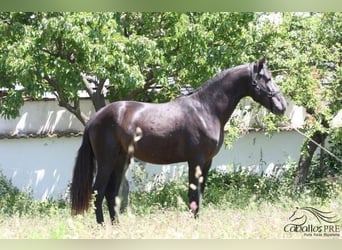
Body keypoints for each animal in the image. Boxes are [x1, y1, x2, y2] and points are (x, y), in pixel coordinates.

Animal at [71, 57, 288, 224]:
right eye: (266, 78)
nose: (282, 106)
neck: (206, 109)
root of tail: (95, 118)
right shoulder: (196, 161)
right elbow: (193, 195)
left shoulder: (207, 163)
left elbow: (200, 195)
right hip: (106, 161)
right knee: (98, 193)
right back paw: (102, 227)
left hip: (121, 160)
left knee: (110, 194)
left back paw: (117, 226)